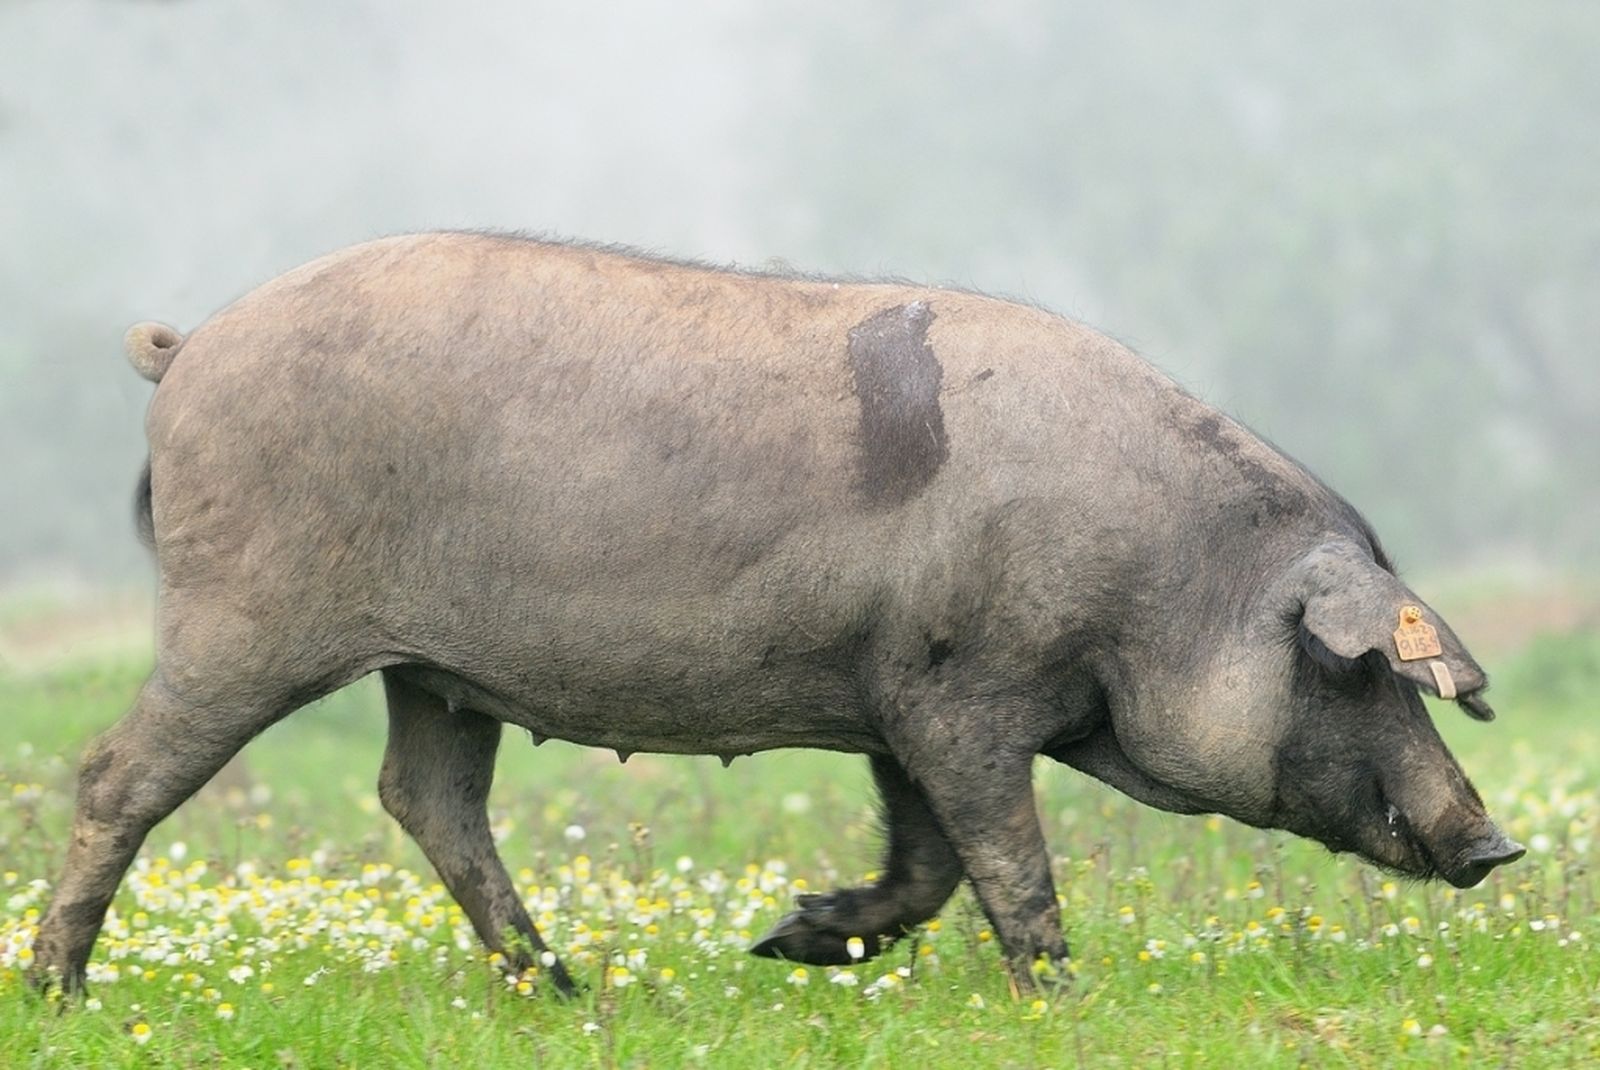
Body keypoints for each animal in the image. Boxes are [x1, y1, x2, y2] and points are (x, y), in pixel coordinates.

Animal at [31, 232, 1523, 997]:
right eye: (1353, 672)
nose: (1494, 839)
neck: (1159, 583)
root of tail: (187, 350)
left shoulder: (896, 698)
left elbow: (926, 861)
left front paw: (787, 939)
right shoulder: (958, 690)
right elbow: (1005, 853)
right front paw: (1060, 991)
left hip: (436, 666)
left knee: (427, 797)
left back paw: (564, 987)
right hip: (243, 614)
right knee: (113, 774)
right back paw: (60, 990)